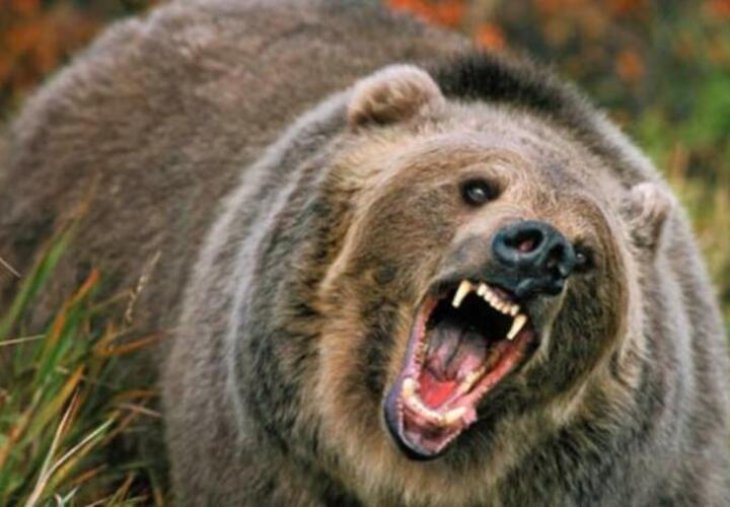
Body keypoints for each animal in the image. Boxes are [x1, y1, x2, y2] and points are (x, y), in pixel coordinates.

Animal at [1, 0, 728, 505]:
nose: (538, 247)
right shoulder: (263, 450)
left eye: (585, 253)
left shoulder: (659, 469)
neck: (402, 469)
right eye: (477, 185)